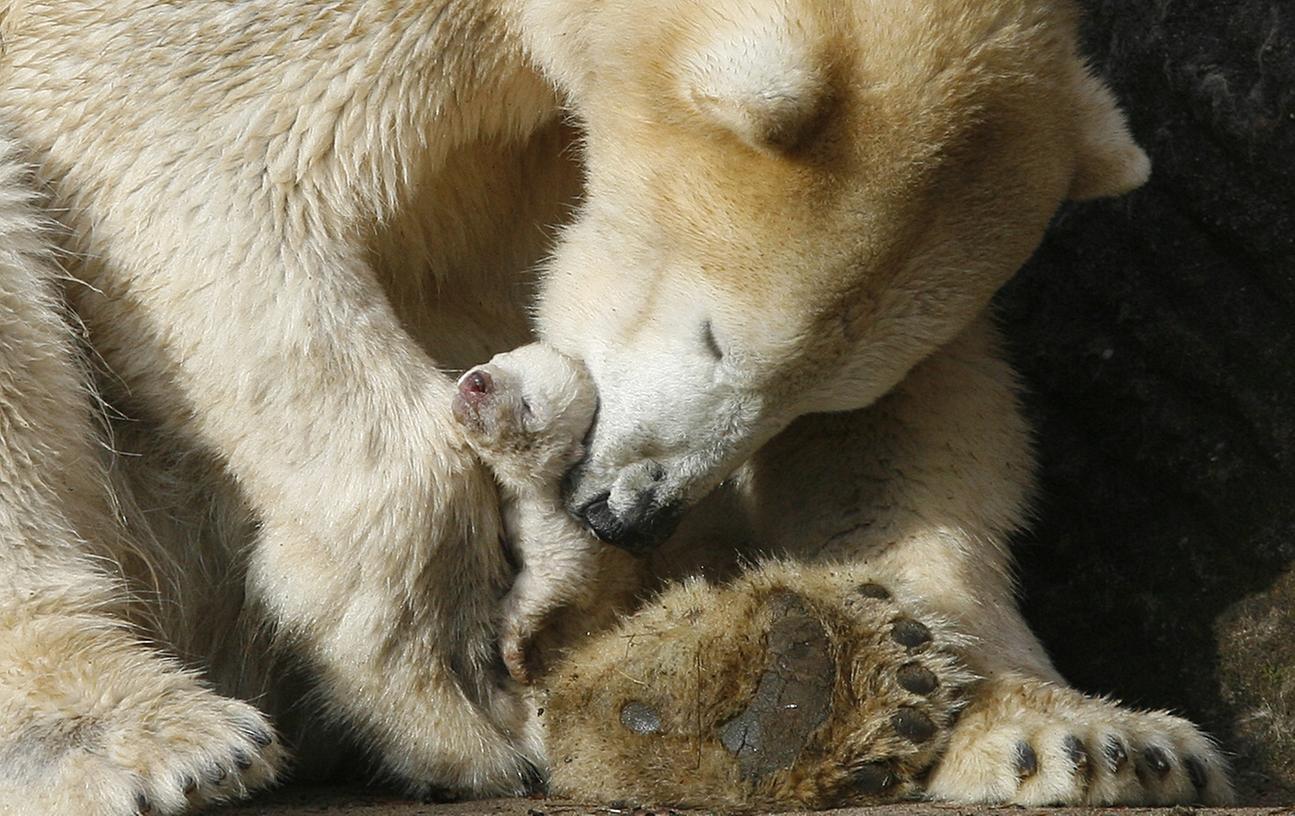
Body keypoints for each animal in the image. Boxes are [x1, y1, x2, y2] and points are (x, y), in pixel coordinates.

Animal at [0, 0, 1227, 813]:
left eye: (813, 390)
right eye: (719, 339)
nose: (626, 513)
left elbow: (921, 425)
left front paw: (1073, 733)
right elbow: (203, 165)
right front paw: (439, 689)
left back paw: (785, 679)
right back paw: (146, 738)